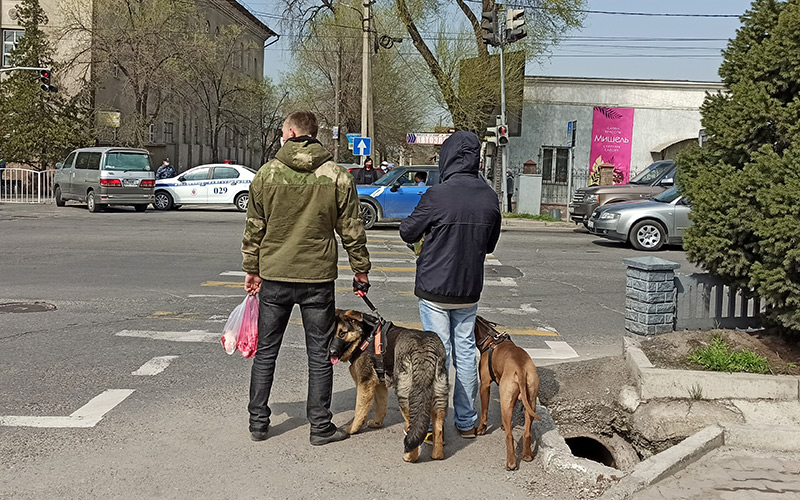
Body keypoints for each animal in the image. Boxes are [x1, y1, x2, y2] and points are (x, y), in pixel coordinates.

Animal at [329, 309, 448, 462]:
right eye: (329, 334)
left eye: (342, 333)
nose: (331, 352)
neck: (364, 337)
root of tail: (424, 348)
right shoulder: (379, 386)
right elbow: (381, 407)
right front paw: (377, 424)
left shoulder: (365, 385)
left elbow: (359, 412)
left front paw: (351, 429)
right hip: (438, 398)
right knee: (438, 429)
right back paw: (437, 455)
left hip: (405, 397)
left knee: (413, 425)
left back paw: (409, 457)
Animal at [474, 315, 542, 471]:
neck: (490, 339)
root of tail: (521, 368)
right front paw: (503, 425)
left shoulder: (484, 386)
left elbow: (484, 411)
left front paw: (481, 429)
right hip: (530, 401)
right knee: (527, 432)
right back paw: (527, 455)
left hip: (507, 399)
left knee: (510, 436)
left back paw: (511, 463)